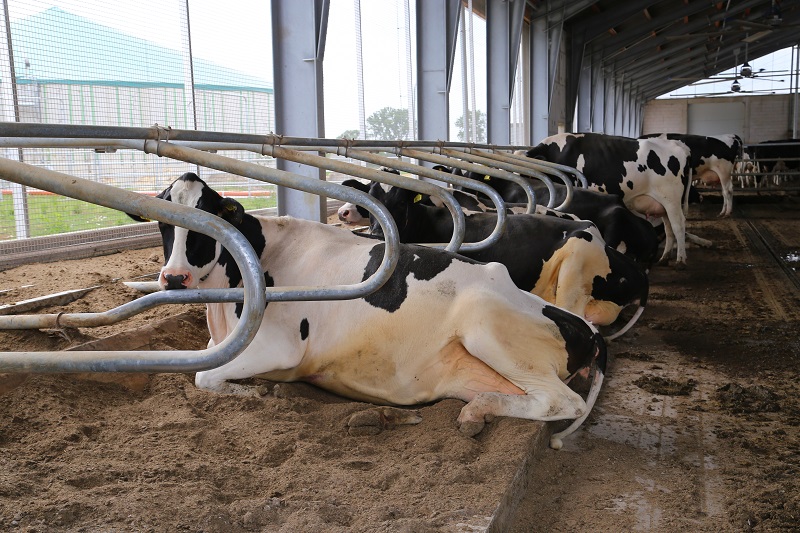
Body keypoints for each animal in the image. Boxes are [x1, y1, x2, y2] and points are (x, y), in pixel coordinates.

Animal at [130, 171, 608, 448]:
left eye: (208, 220)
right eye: (162, 221)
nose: (174, 279)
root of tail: (585, 328)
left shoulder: (281, 347)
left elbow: (204, 376)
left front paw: (257, 392)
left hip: (486, 324)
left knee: (562, 401)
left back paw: (472, 414)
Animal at [524, 131, 692, 268]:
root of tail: (680, 146)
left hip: (671, 199)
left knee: (678, 225)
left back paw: (680, 260)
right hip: (663, 204)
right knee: (668, 227)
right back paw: (664, 258)